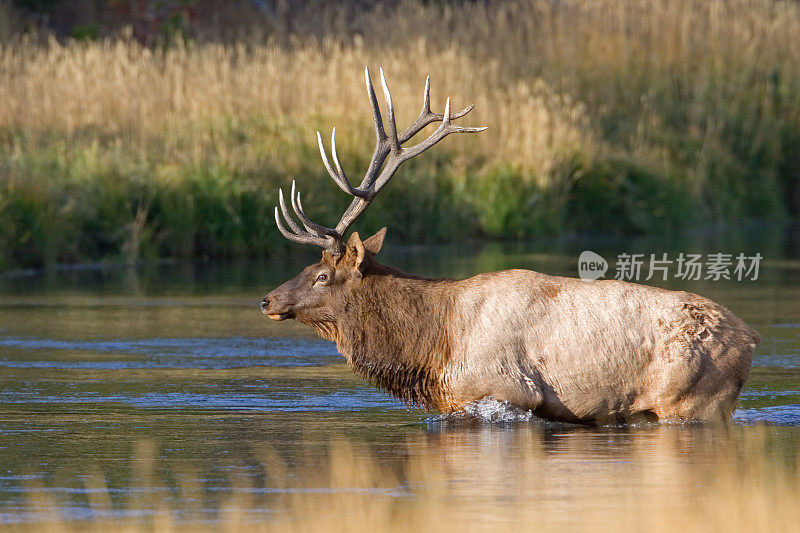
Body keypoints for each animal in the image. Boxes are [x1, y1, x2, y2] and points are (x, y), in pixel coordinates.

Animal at [260, 67, 760, 424]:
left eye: (322, 274)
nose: (267, 299)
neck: (434, 347)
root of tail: (750, 336)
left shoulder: (506, 390)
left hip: (693, 399)